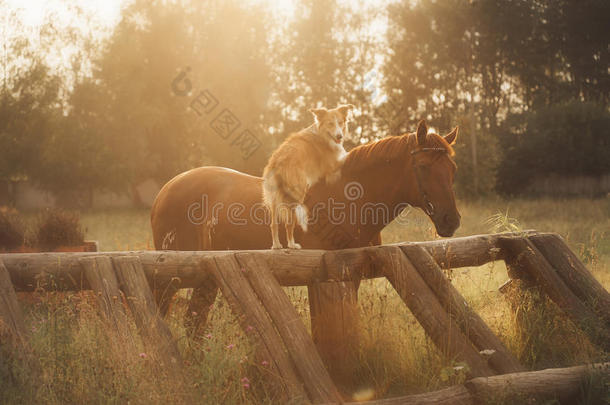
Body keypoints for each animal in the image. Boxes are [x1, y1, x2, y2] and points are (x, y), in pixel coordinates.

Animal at [151, 120, 456, 326]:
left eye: (452, 168)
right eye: (423, 167)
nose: (451, 220)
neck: (345, 198)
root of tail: (165, 190)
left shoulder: (352, 278)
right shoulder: (325, 279)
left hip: (207, 277)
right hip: (171, 280)